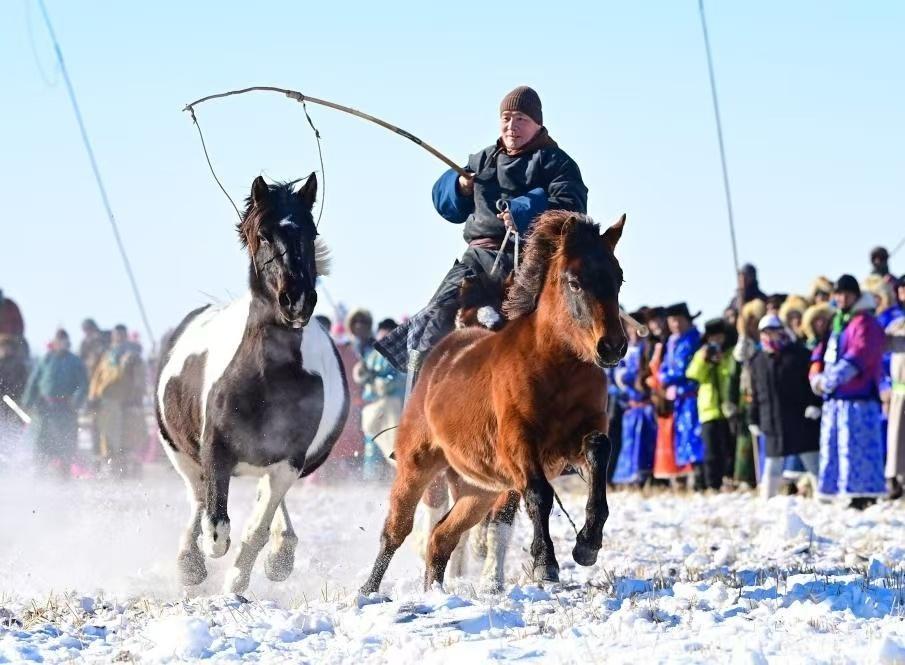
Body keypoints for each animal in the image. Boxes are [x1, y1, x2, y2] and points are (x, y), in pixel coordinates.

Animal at [155, 172, 346, 592]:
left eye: (310, 231)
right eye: (262, 234)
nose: (297, 300)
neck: (266, 378)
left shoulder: (290, 459)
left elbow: (256, 528)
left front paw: (238, 583)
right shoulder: (215, 450)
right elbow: (216, 528)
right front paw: (205, 561)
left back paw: (280, 552)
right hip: (177, 451)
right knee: (196, 498)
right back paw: (189, 562)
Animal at [358, 209, 620, 592]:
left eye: (618, 279)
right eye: (575, 281)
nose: (612, 346)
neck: (556, 367)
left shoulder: (578, 438)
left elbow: (599, 452)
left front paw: (587, 544)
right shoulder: (518, 445)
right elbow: (538, 494)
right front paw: (545, 562)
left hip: (478, 489)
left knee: (443, 537)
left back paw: (435, 592)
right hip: (417, 464)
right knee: (398, 530)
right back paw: (368, 591)